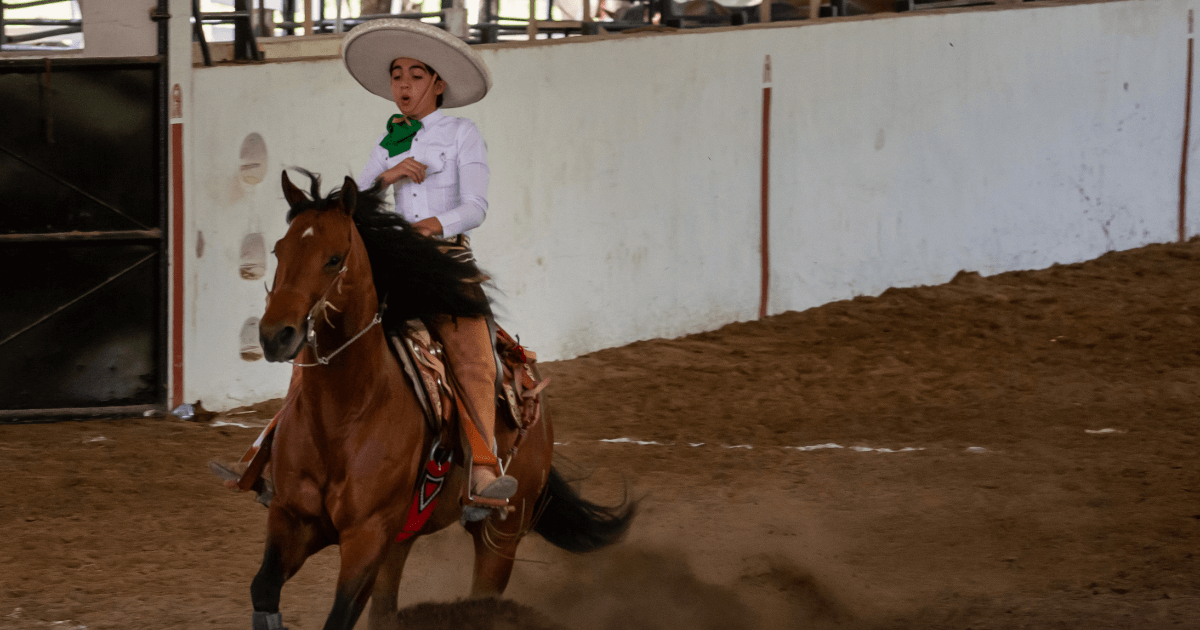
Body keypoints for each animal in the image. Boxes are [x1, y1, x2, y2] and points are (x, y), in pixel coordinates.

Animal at [249, 170, 633, 628]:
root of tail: (533, 398)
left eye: (334, 259)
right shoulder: (292, 519)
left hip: (501, 535)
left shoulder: (366, 537)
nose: (276, 335)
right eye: (279, 249)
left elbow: (338, 617)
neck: (341, 418)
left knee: (484, 599)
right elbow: (263, 589)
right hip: (402, 540)